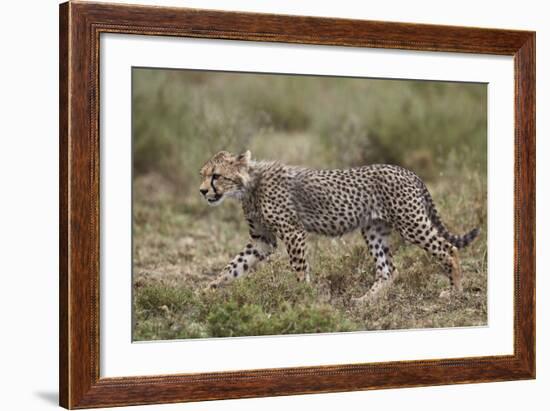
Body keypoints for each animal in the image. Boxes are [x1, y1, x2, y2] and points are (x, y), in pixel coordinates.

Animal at [201, 150, 480, 300]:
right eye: (202, 175)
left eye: (216, 176)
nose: (202, 191)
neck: (249, 186)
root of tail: (406, 170)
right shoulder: (263, 240)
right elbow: (233, 266)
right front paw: (207, 290)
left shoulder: (293, 232)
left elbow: (299, 269)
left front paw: (303, 297)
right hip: (373, 229)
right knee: (388, 269)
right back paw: (366, 300)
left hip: (411, 223)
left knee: (448, 249)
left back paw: (455, 291)